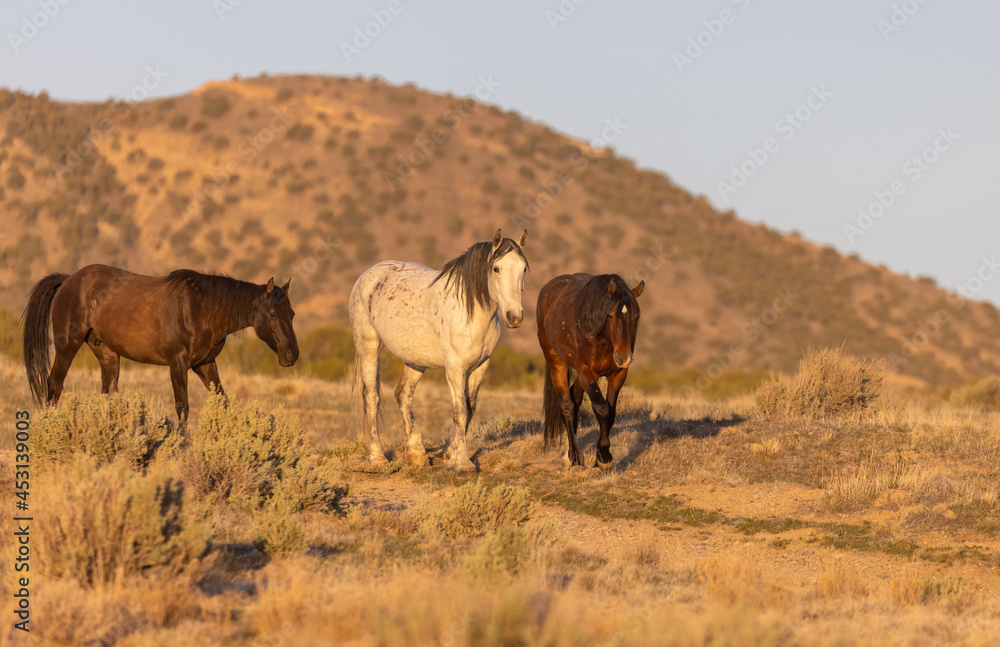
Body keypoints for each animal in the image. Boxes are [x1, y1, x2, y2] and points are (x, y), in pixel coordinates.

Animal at [23, 264, 299, 424]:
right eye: (272, 314)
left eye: (292, 313)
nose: (291, 355)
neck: (200, 309)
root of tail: (69, 280)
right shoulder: (177, 363)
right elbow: (182, 407)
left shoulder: (205, 364)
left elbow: (223, 403)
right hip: (67, 346)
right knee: (54, 386)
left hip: (107, 354)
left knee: (108, 393)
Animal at [350, 228, 528, 471]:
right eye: (496, 268)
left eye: (524, 268)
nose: (514, 317)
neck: (470, 312)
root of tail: (368, 274)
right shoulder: (455, 368)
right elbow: (459, 411)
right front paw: (463, 463)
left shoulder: (480, 367)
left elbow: (469, 408)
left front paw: (451, 454)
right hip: (368, 346)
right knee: (371, 398)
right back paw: (378, 458)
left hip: (415, 360)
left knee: (403, 394)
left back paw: (417, 454)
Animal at [537, 273, 644, 470]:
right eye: (610, 315)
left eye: (636, 316)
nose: (623, 358)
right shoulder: (587, 373)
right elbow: (602, 409)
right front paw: (604, 458)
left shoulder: (618, 375)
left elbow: (611, 412)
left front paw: (601, 457)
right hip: (556, 362)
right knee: (567, 406)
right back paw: (575, 458)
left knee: (575, 399)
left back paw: (572, 453)